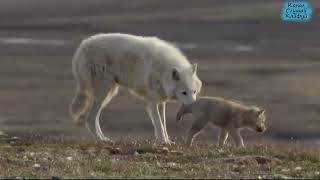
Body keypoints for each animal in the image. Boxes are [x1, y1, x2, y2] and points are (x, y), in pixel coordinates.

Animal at [70, 33, 202, 143]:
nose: (194, 107)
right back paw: (102, 140)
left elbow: (163, 125)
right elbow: (159, 124)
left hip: (109, 94)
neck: (163, 71)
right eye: (184, 92)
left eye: (194, 92)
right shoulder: (152, 102)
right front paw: (164, 142)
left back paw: (104, 138)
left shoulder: (161, 102)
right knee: (90, 119)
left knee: (95, 118)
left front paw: (167, 141)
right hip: (104, 92)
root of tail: (81, 48)